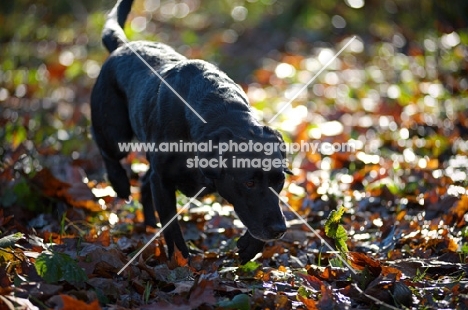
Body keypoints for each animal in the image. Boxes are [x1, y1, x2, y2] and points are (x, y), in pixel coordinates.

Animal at [90, 0, 290, 262]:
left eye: (280, 181)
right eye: (248, 183)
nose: (280, 230)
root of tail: (123, 45)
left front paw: (249, 246)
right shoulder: (163, 180)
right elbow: (172, 227)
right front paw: (181, 261)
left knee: (143, 180)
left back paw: (149, 226)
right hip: (114, 130)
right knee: (107, 150)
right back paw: (120, 183)